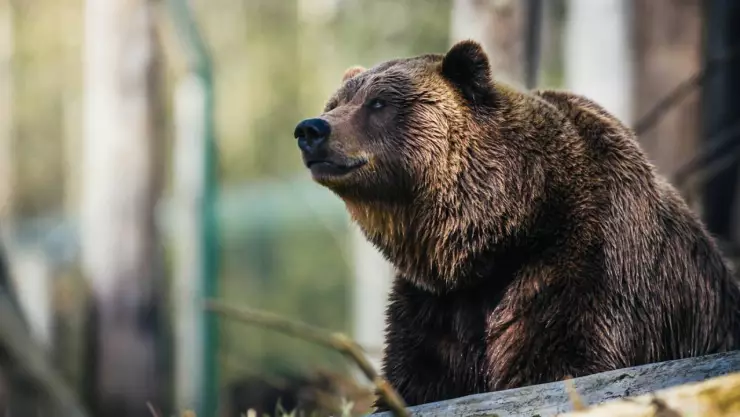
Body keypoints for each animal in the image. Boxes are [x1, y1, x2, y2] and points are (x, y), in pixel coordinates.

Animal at [292, 40, 740, 410]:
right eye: (336, 102)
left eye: (379, 102)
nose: (311, 128)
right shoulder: (436, 306)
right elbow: (416, 378)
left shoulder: (584, 264)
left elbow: (561, 360)